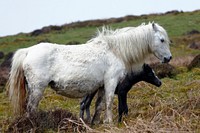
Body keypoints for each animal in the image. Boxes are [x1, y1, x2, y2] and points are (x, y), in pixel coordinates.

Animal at [7, 22, 171, 123]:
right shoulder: (111, 82)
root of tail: (28, 51)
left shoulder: (101, 86)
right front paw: (109, 122)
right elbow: (109, 102)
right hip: (37, 89)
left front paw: (96, 122)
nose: (168, 58)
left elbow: (99, 105)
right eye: (162, 40)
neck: (114, 51)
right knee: (31, 108)